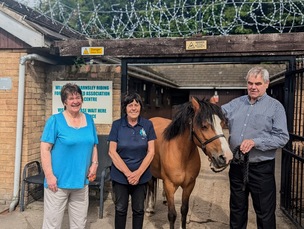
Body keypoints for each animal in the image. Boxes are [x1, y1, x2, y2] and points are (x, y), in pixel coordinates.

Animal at [145, 96, 233, 229]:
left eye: (221, 124)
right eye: (204, 126)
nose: (226, 156)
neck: (182, 155)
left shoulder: (189, 185)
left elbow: (184, 210)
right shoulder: (170, 185)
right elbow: (172, 214)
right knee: (151, 184)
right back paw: (150, 208)